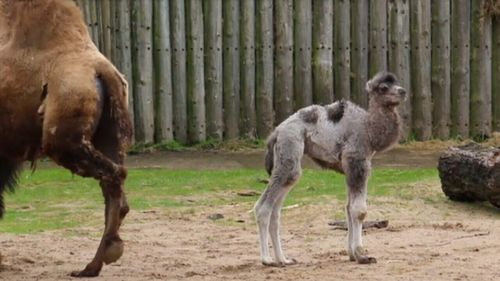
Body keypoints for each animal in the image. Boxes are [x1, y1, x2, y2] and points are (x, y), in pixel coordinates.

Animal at [254, 71, 406, 264]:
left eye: (397, 82)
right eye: (383, 88)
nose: (403, 91)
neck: (369, 130)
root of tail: (275, 132)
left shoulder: (349, 168)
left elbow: (348, 208)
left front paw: (352, 254)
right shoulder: (357, 161)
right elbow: (359, 210)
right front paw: (362, 255)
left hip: (288, 159)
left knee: (278, 206)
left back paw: (284, 260)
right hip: (290, 146)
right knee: (264, 207)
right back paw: (267, 259)